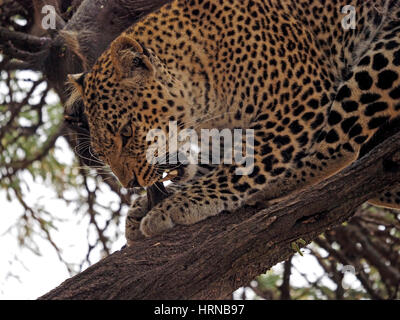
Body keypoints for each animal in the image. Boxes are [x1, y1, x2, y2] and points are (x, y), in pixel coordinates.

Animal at [69, 0, 400, 246]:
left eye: (126, 132)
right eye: (101, 152)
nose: (131, 184)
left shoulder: (300, 95)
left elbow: (249, 163)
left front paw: (181, 203)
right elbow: (213, 161)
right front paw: (147, 205)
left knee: (338, 145)